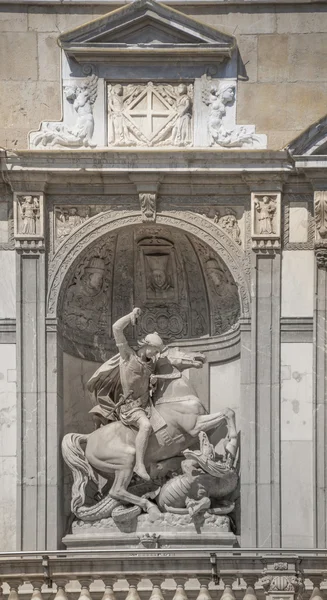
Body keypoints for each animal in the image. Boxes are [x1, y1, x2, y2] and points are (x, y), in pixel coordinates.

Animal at [61, 346, 237, 520]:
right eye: (178, 350)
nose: (200, 355)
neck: (177, 398)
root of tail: (90, 437)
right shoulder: (195, 425)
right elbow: (228, 412)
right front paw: (231, 446)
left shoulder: (201, 430)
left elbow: (226, 414)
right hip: (125, 460)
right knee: (116, 491)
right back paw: (151, 507)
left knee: (112, 492)